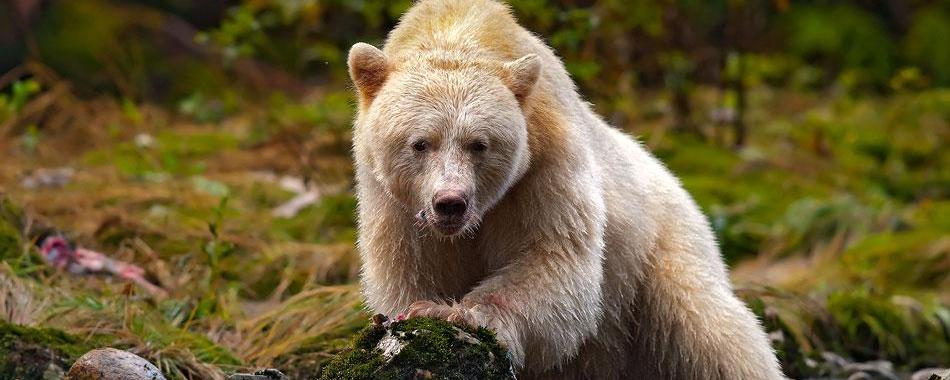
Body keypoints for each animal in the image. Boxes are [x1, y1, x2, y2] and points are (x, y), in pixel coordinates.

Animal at [346, 1, 784, 378]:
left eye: (479, 144)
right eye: (421, 143)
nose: (450, 203)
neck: (458, 28)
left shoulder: (543, 168)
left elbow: (555, 260)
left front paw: (450, 311)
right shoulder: (393, 202)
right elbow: (410, 269)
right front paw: (414, 309)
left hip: (656, 259)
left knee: (711, 332)